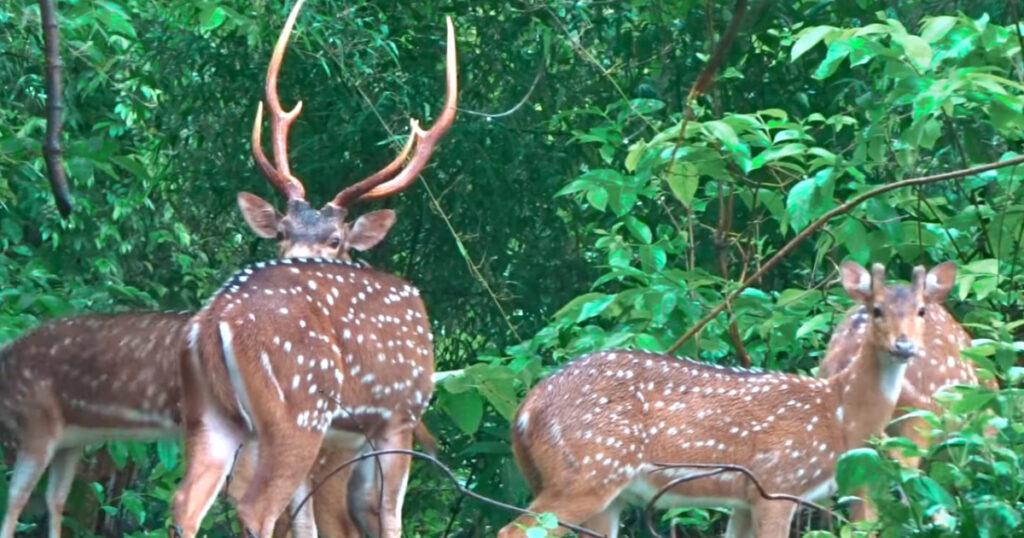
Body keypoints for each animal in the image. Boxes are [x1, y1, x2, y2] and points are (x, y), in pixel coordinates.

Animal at [169, 0, 458, 532]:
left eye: (335, 239)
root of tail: (214, 321)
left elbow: (314, 521)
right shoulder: (399, 411)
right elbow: (389, 516)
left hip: (215, 415)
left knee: (188, 502)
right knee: (256, 505)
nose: (290, 261)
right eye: (282, 231)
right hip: (297, 407)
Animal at [495, 262, 950, 536]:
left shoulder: (745, 498)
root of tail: (525, 410)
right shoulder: (778, 482)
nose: (904, 346)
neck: (838, 416)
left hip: (601, 490)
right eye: (876, 310)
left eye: (922, 311)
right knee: (510, 529)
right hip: (587, 469)